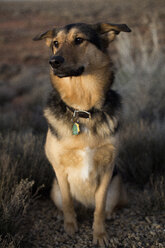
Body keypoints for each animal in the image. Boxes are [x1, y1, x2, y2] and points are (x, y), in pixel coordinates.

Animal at [33, 22, 131, 247]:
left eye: (79, 40)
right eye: (55, 43)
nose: (54, 61)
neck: (82, 108)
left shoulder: (107, 169)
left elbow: (100, 208)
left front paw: (100, 234)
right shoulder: (60, 169)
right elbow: (68, 202)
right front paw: (70, 227)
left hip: (116, 185)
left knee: (108, 206)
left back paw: (110, 214)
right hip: (54, 188)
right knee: (65, 203)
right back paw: (61, 215)